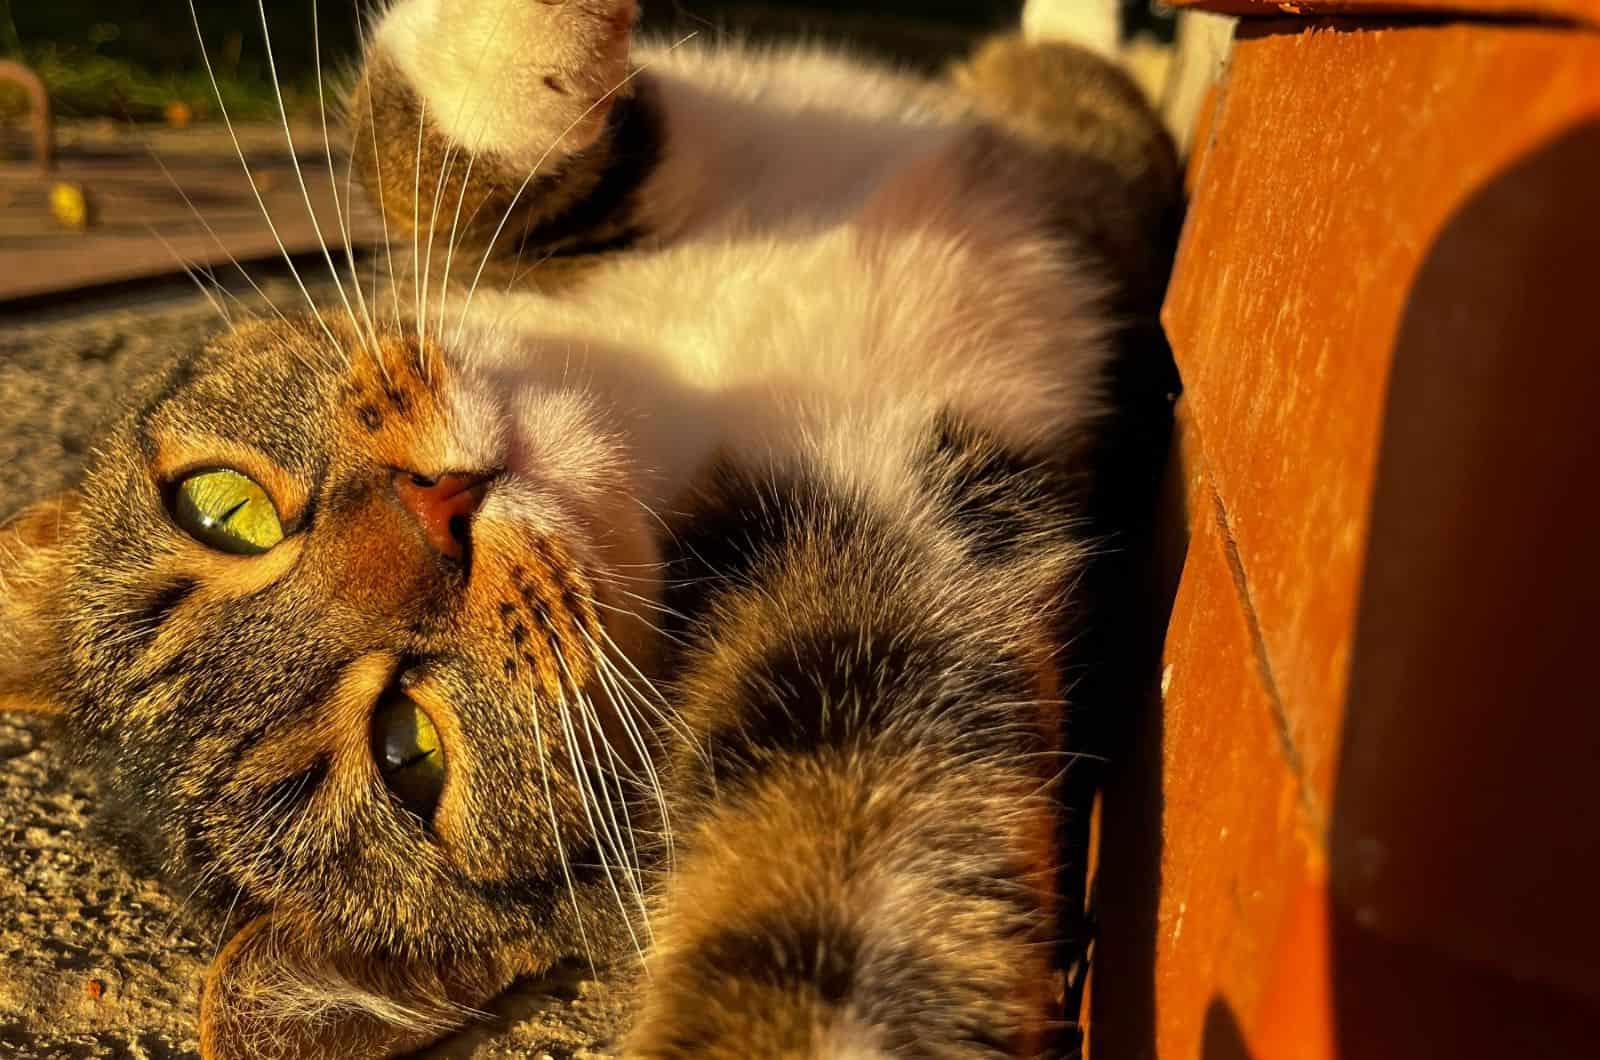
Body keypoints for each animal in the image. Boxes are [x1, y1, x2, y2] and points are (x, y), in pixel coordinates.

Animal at [0, 4, 1177, 1056]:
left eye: (222, 508)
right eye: (410, 754)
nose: (437, 509)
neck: (656, 394)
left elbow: (411, 140)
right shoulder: (864, 610)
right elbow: (836, 905)